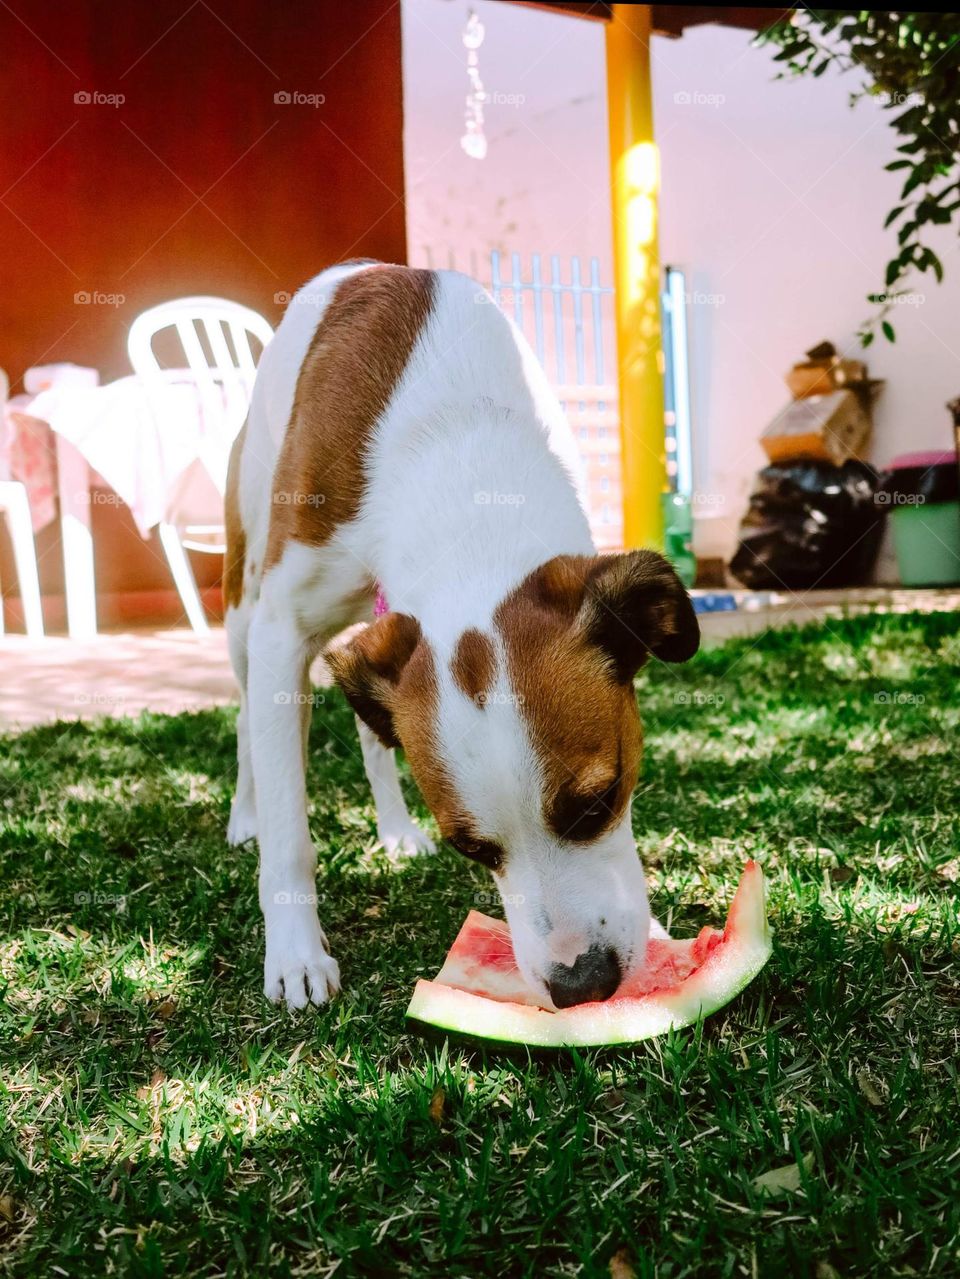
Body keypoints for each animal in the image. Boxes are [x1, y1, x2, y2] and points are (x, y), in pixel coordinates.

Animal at [224, 264, 700, 1012]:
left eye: (600, 801)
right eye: (472, 849)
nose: (583, 984)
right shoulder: (282, 628)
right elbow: (288, 828)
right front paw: (295, 950)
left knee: (371, 730)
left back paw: (393, 828)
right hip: (244, 602)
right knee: (247, 714)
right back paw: (244, 815)